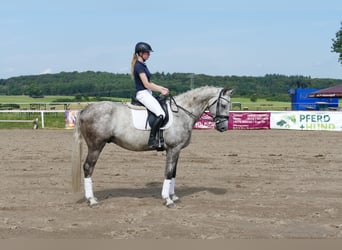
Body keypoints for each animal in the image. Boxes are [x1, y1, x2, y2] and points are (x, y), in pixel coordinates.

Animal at [71, 86, 232, 207]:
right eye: (223, 105)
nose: (223, 127)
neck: (181, 113)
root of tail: (85, 109)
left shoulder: (176, 150)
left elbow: (174, 172)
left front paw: (173, 196)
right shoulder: (173, 148)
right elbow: (168, 173)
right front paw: (167, 199)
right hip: (96, 146)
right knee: (88, 167)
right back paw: (91, 200)